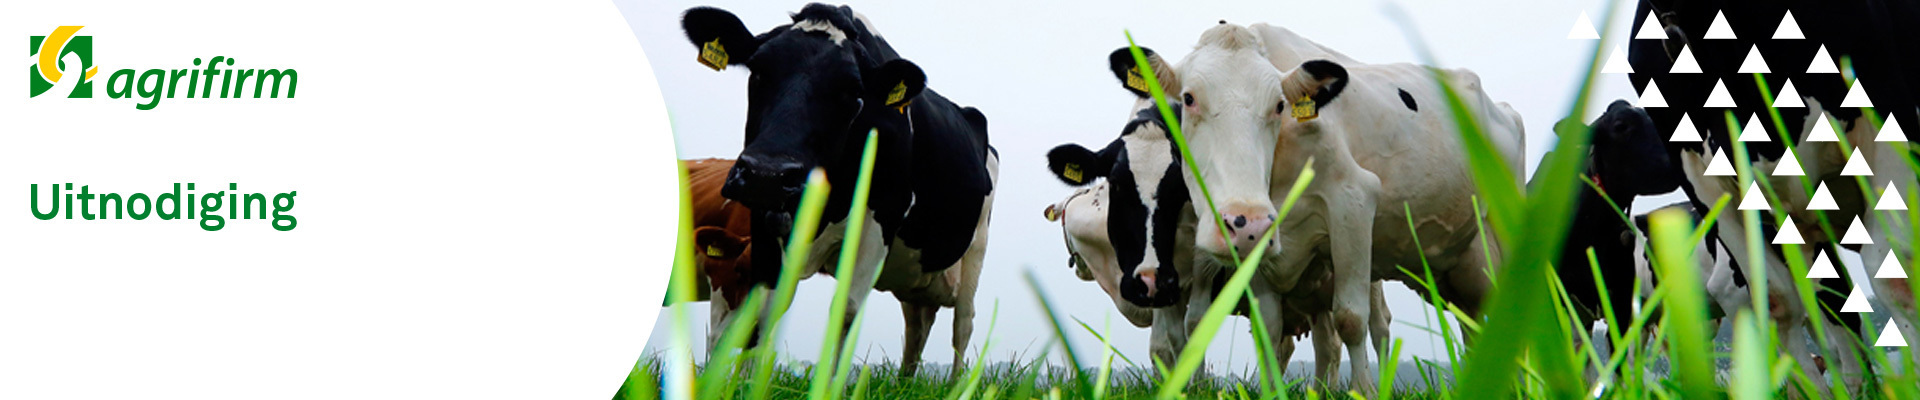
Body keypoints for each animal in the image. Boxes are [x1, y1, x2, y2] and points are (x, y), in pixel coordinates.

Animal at [679, 3, 998, 376]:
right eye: (757, 71)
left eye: (852, 90)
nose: (767, 173)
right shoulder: (763, 215)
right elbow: (763, 308)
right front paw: (744, 382)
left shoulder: (880, 220)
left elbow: (846, 311)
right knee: (917, 323)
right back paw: (906, 379)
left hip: (976, 247)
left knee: (963, 322)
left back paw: (957, 383)